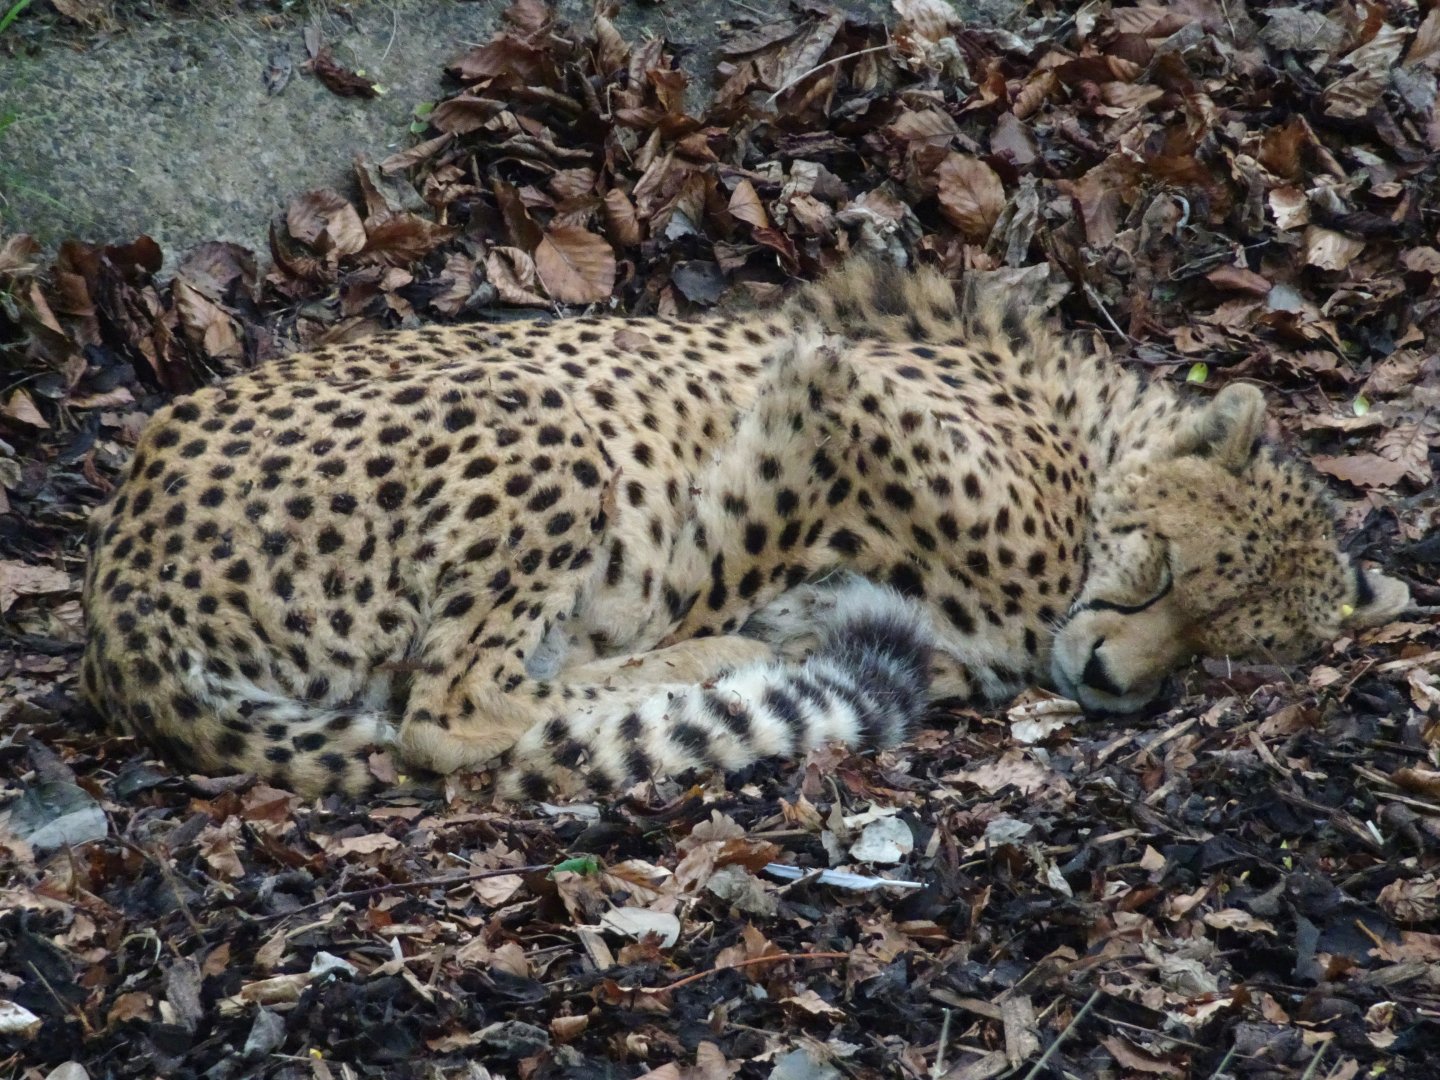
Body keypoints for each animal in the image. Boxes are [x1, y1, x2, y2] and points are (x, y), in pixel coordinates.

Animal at [80, 259, 1411, 800]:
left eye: (1223, 654)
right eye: (1167, 573)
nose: (1114, 682)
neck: (1086, 445)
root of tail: (114, 586)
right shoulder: (828, 382)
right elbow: (710, 561)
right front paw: (698, 637)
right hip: (529, 409)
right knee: (449, 714)